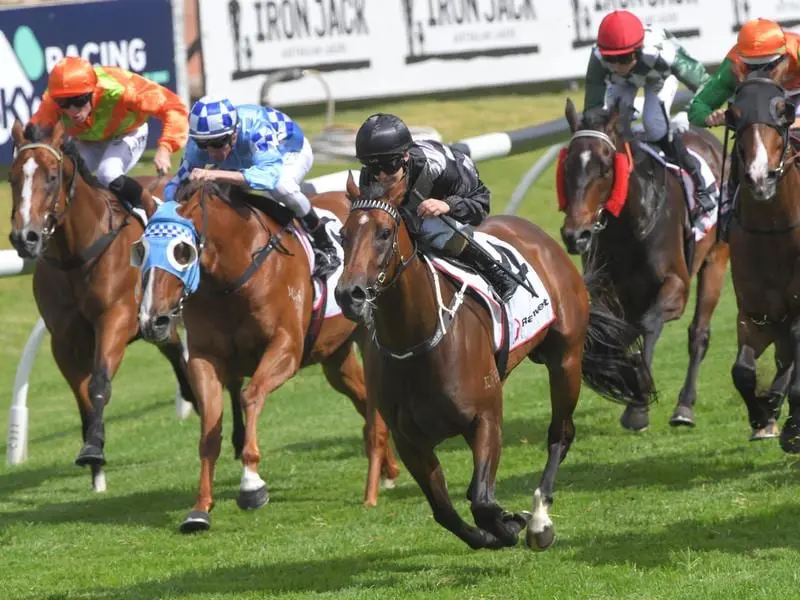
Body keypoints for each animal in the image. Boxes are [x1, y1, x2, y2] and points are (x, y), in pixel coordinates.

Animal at [6, 119, 195, 490]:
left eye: (53, 176)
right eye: (12, 176)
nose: (25, 238)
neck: (77, 253)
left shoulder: (115, 320)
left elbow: (98, 384)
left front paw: (94, 449)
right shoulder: (63, 339)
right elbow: (81, 395)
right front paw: (95, 463)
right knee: (171, 344)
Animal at [136, 180, 400, 532]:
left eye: (182, 251)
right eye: (140, 251)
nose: (152, 321)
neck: (232, 281)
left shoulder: (286, 348)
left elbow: (250, 395)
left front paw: (251, 485)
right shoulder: (204, 358)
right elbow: (209, 430)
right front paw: (200, 508)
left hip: (368, 340)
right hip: (335, 358)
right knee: (362, 398)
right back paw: (389, 470)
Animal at [334, 172, 652, 548]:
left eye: (384, 233)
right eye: (343, 235)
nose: (348, 294)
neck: (417, 342)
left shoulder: (485, 418)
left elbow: (483, 501)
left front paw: (513, 524)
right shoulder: (409, 440)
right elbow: (447, 510)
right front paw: (493, 531)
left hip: (566, 359)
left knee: (561, 434)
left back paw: (540, 520)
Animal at [560, 101, 728, 434]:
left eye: (605, 166)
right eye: (567, 165)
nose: (575, 235)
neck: (630, 225)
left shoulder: (676, 285)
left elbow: (648, 325)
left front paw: (637, 406)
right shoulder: (606, 288)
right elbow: (611, 334)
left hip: (716, 259)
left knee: (698, 334)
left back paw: (684, 406)